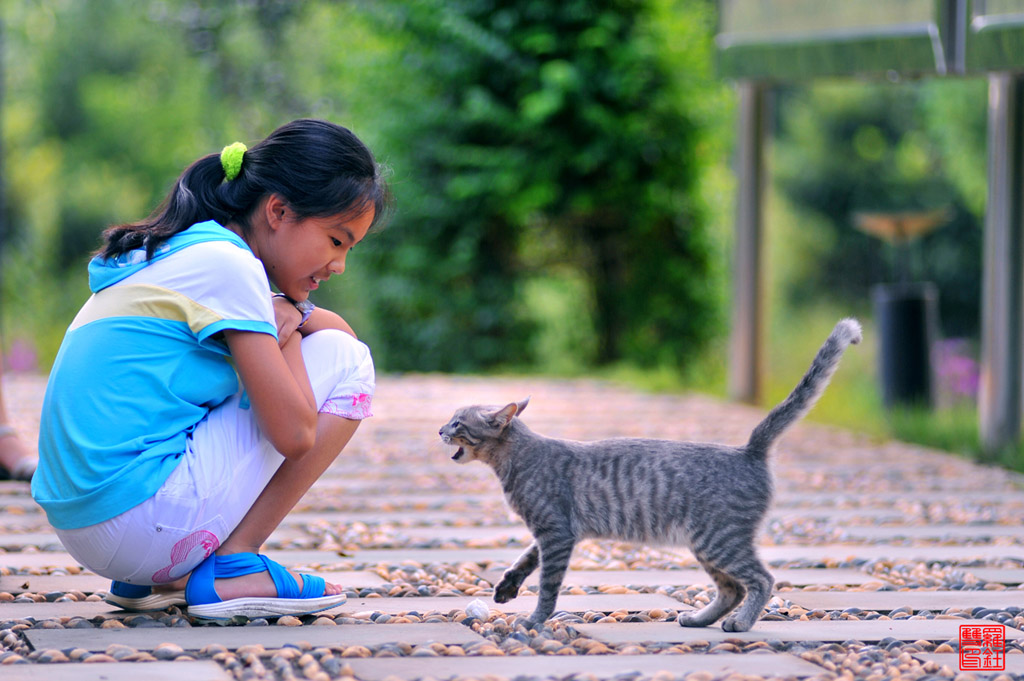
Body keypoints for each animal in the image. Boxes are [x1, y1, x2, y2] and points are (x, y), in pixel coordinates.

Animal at [440, 315, 864, 630]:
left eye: (458, 422)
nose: (440, 430)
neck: (517, 458)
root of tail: (749, 450)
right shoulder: (554, 532)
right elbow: (525, 560)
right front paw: (507, 587)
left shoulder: (556, 533)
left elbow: (548, 585)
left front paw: (533, 621)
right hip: (707, 544)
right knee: (732, 589)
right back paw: (701, 619)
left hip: (719, 539)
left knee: (761, 580)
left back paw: (742, 623)